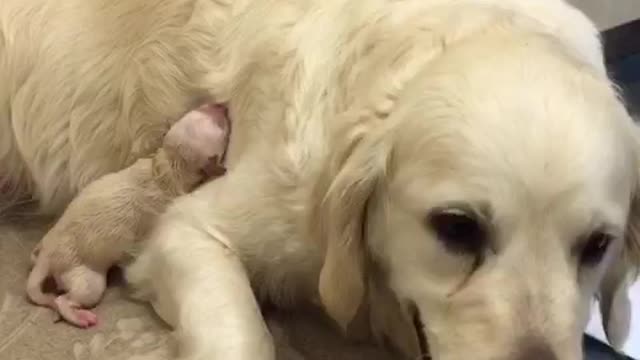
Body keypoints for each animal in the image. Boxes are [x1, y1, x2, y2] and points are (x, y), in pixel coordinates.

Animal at [25, 102, 230, 328]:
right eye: (221, 126)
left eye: (200, 109)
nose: (221, 104)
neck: (167, 165)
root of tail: (47, 256)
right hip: (85, 278)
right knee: (64, 299)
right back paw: (79, 316)